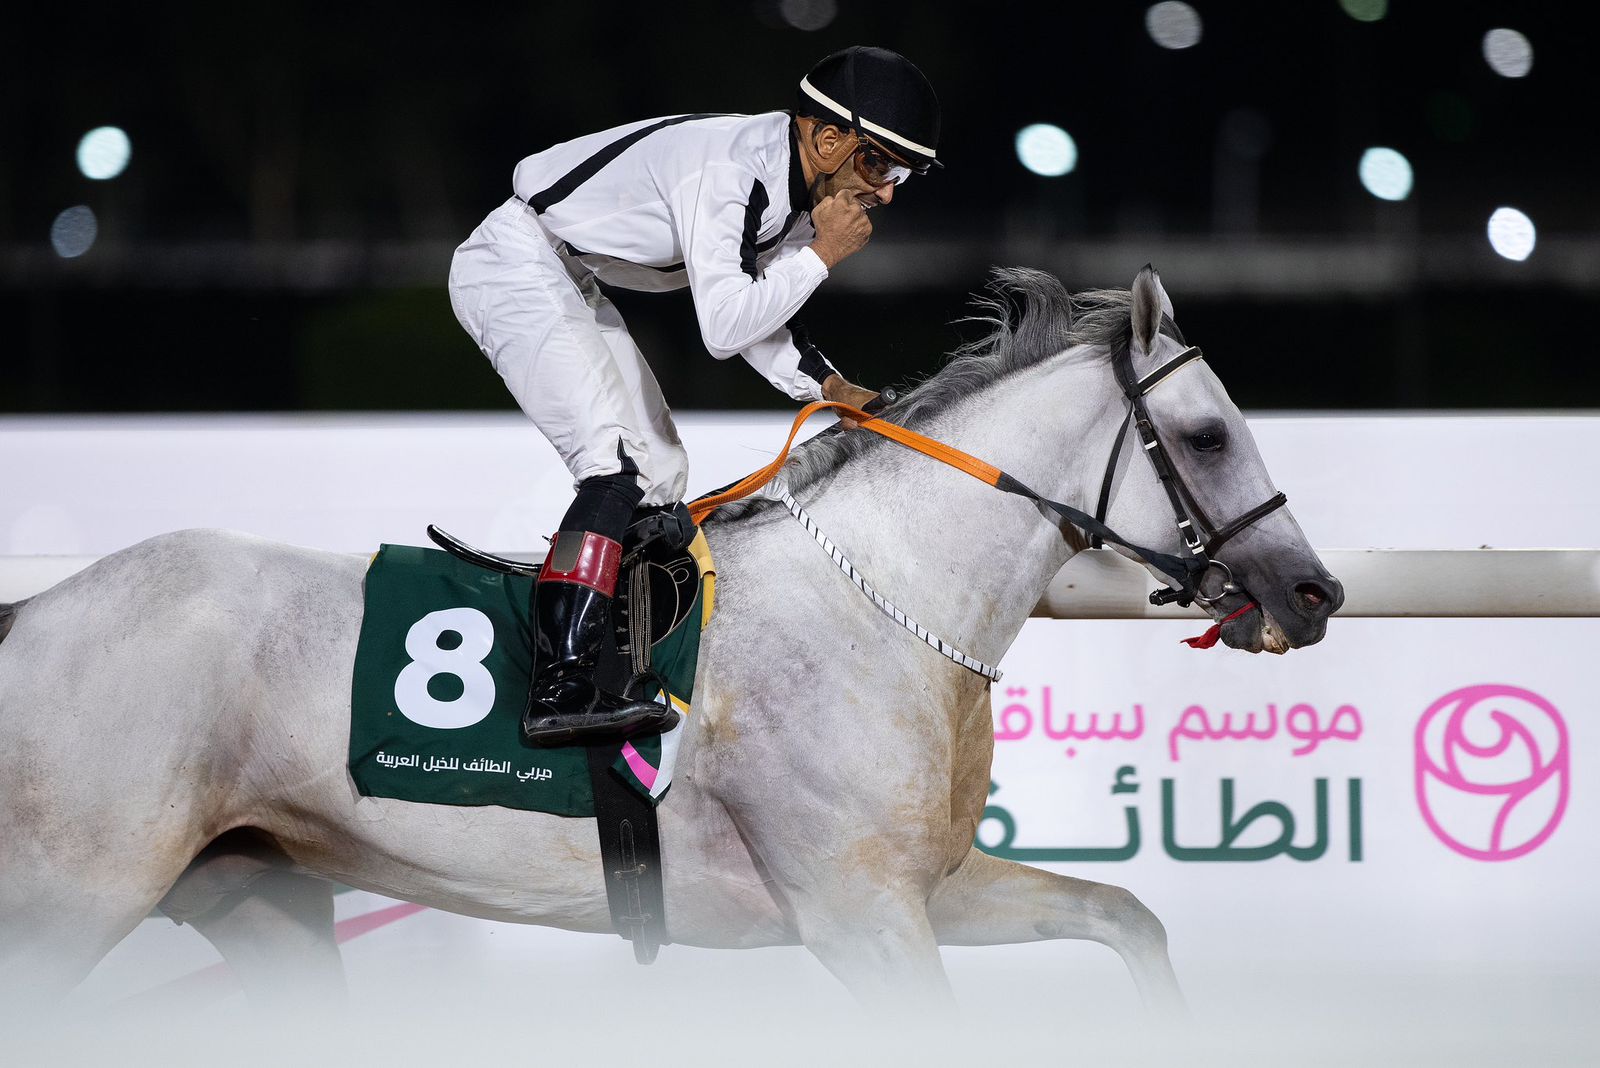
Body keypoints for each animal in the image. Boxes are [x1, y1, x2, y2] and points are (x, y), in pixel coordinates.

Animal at [0, 266, 1341, 1021]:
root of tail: (35, 617)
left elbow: (1125, 915)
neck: (878, 604)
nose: (1313, 590)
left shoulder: (923, 889)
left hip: (257, 899)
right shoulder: (857, 914)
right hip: (72, 900)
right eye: (1209, 434)